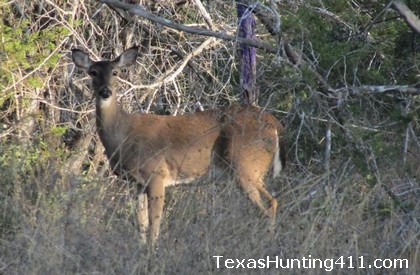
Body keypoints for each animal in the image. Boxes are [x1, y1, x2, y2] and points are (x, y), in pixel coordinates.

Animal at [72, 45, 288, 250]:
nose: (105, 92)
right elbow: (141, 223)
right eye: (93, 72)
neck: (122, 134)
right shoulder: (137, 182)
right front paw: (141, 251)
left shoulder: (157, 173)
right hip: (251, 170)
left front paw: (152, 253)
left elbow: (155, 222)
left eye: (116, 72)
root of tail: (274, 124)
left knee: (269, 204)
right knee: (271, 202)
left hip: (245, 165)